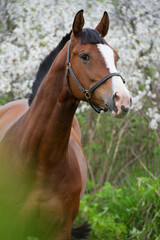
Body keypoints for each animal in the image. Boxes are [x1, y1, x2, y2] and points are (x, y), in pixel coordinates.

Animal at [0, 9, 132, 240]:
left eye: (115, 56)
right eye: (85, 56)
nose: (122, 100)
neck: (40, 162)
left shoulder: (60, 230)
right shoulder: (10, 228)